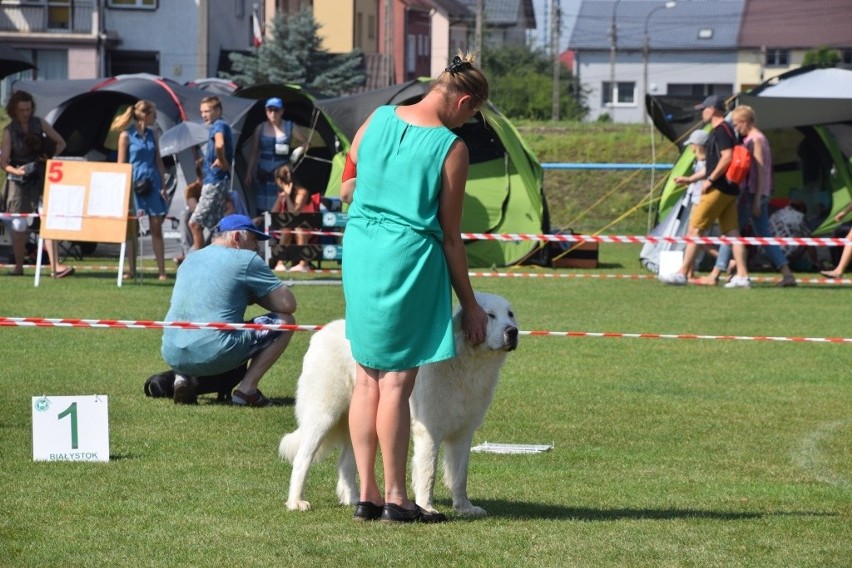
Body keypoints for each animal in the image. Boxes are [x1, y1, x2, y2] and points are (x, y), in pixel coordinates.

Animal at [282, 290, 520, 516]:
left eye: (510, 314)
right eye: (490, 315)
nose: (513, 331)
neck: (467, 363)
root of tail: (321, 333)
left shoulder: (463, 432)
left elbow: (460, 476)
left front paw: (465, 508)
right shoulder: (429, 433)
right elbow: (428, 473)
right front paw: (427, 508)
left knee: (347, 462)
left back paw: (355, 499)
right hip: (323, 415)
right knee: (302, 459)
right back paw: (296, 502)